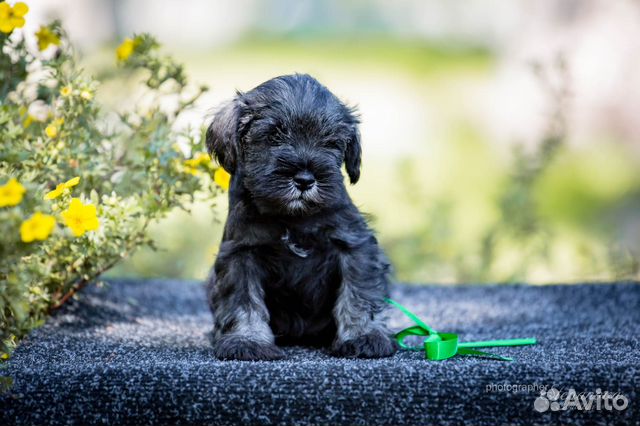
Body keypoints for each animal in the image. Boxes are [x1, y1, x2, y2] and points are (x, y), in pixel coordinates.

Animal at [206, 73, 396, 360]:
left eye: (330, 142)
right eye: (274, 135)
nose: (305, 179)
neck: (292, 217)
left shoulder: (354, 245)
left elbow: (359, 293)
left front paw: (364, 336)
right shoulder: (241, 254)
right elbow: (242, 299)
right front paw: (247, 340)